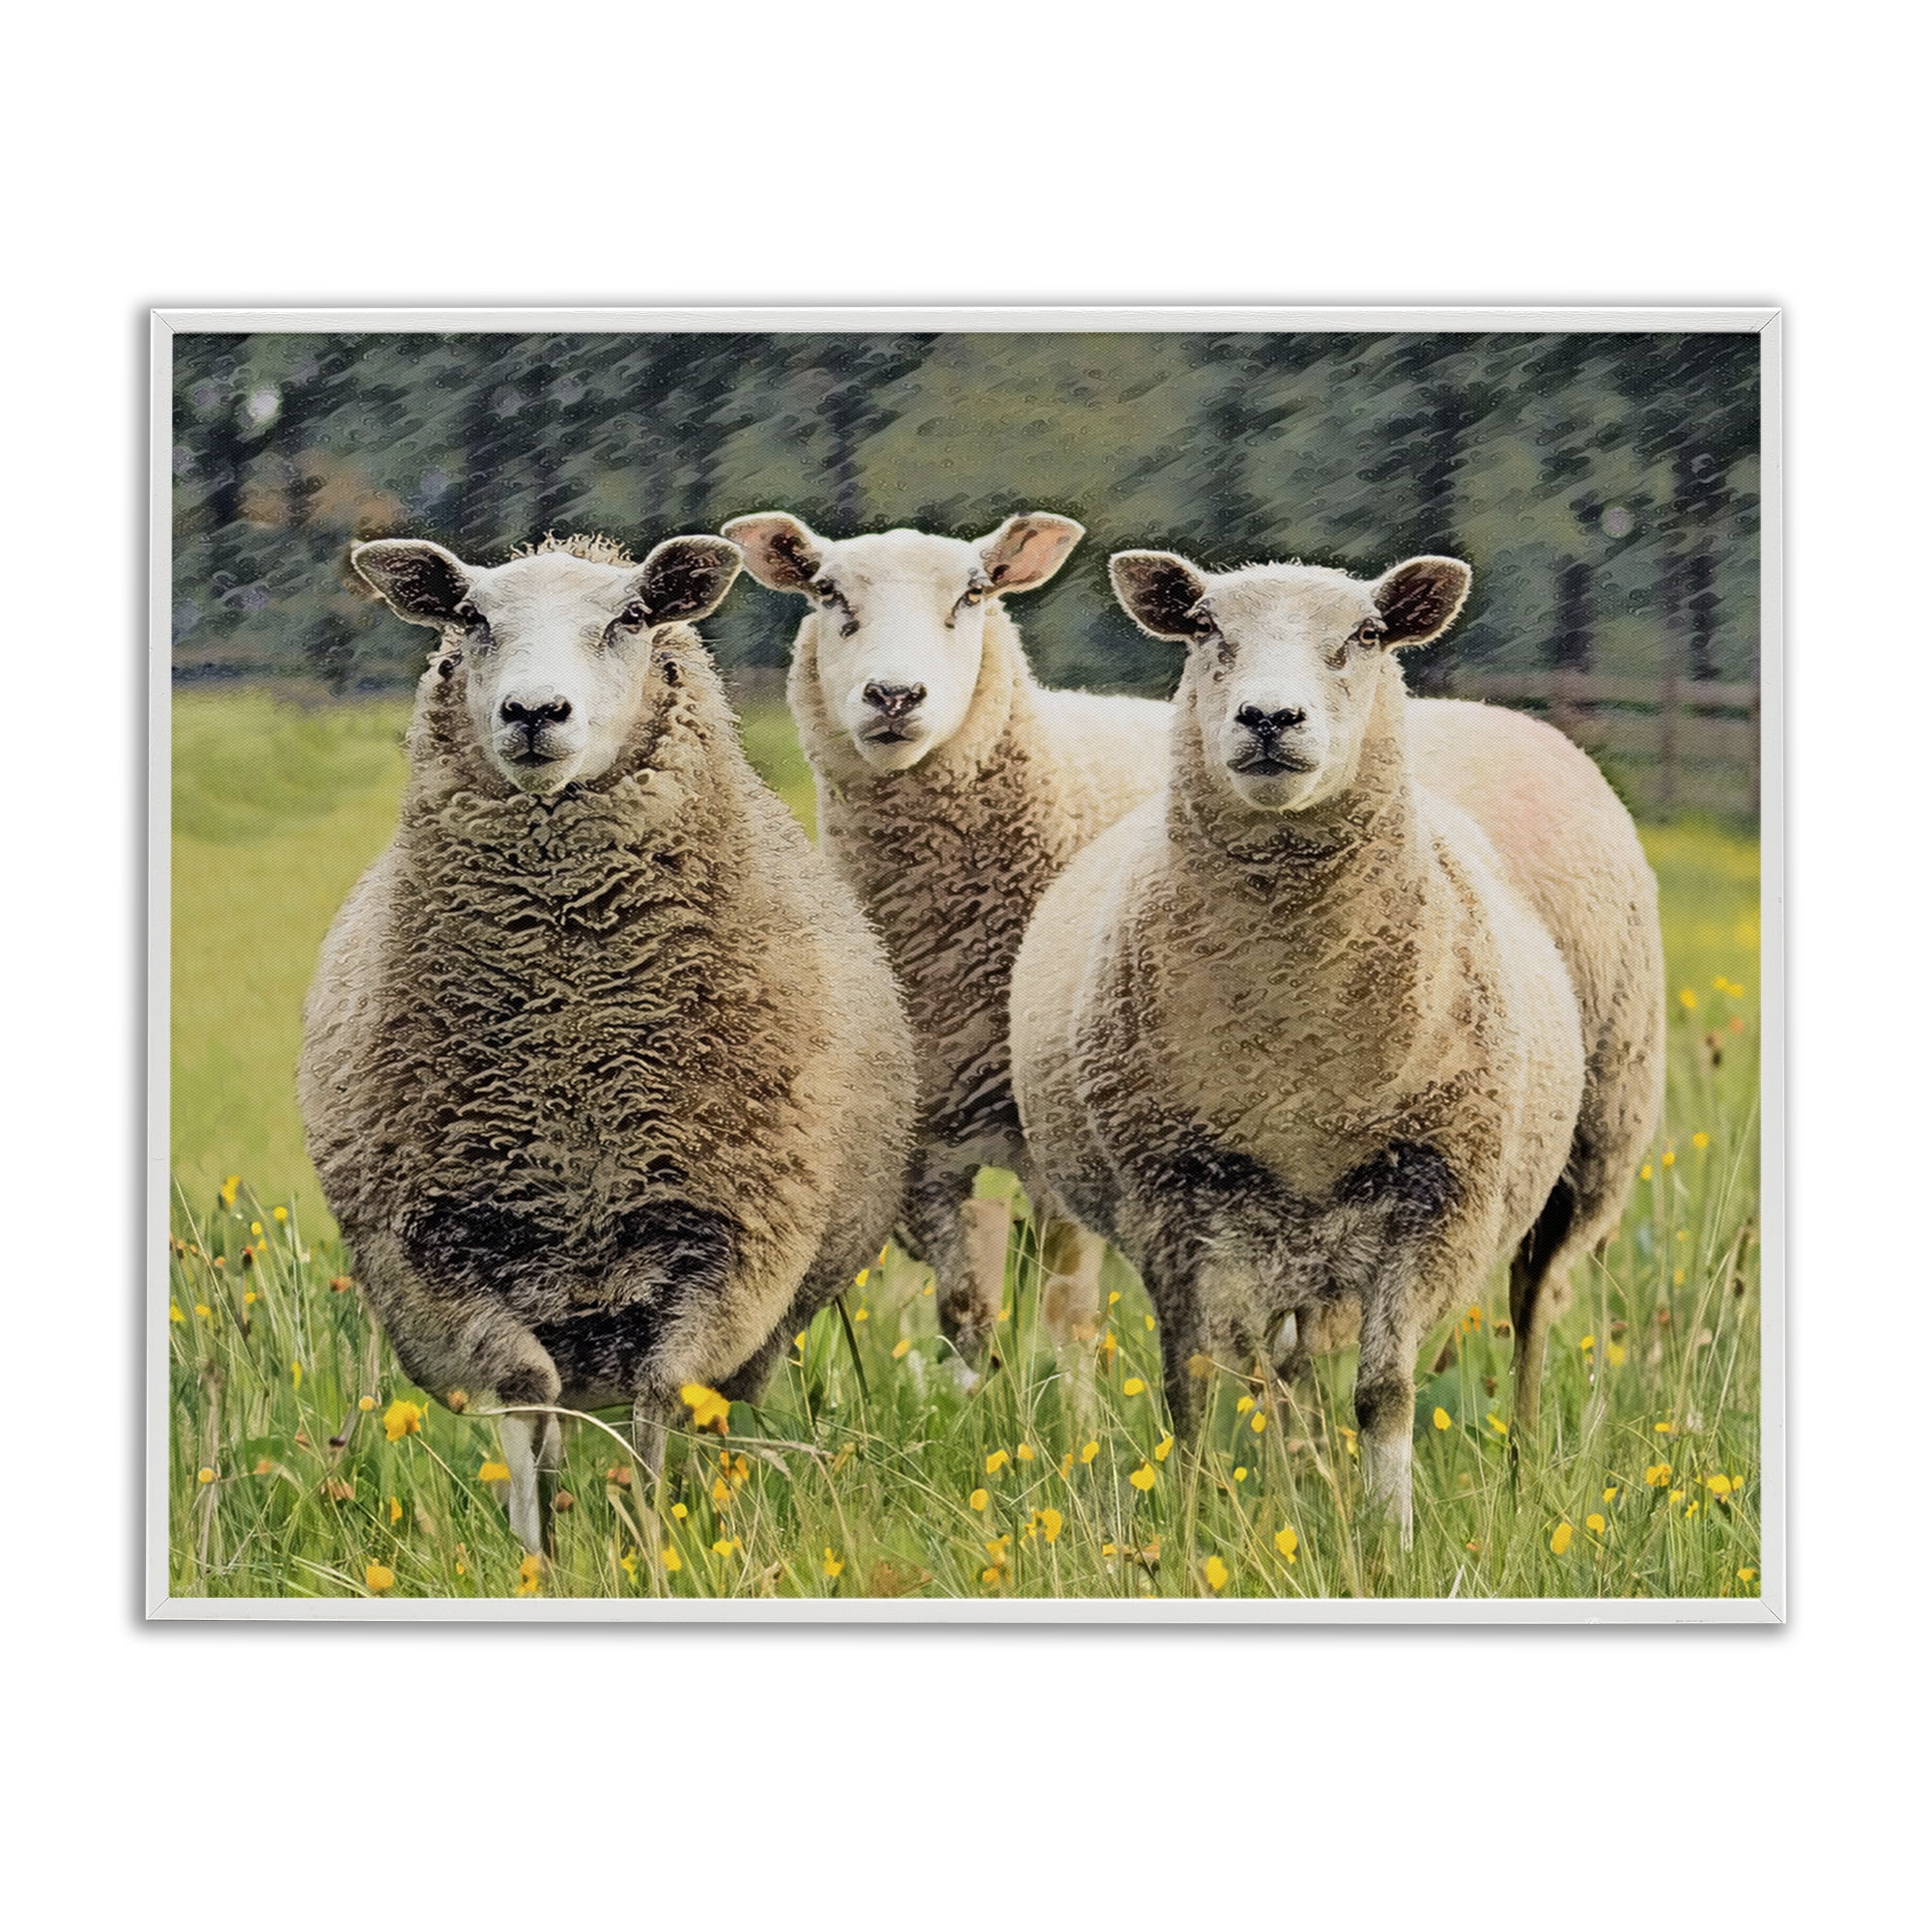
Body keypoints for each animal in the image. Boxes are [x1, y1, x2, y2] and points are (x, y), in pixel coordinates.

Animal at [299, 532, 916, 1556]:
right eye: (469, 617)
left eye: (630, 617)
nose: (534, 712)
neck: (573, 1050)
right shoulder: (437, 1254)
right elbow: (525, 1396)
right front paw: (537, 1555)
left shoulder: (731, 1246)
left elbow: (663, 1398)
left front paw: (654, 1546)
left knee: (701, 1410)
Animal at [720, 509, 1172, 1367]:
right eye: (827, 592)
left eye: (973, 593)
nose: (894, 694)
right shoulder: (922, 1151)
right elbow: (966, 1314)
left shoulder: (1056, 1139)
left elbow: (1064, 1312)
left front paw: (1064, 1404)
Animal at [1009, 547, 1664, 1537]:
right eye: (1204, 627)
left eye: (1366, 635)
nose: (1270, 717)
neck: (1300, 1049)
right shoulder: (1170, 1200)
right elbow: (1194, 1385)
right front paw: (1196, 1522)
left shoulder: (1439, 1194)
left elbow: (1385, 1393)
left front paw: (1389, 1536)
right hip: (1292, 1236)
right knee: (1287, 1369)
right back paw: (1303, 1478)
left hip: (1593, 1148)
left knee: (1533, 1311)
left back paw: (1520, 1469)